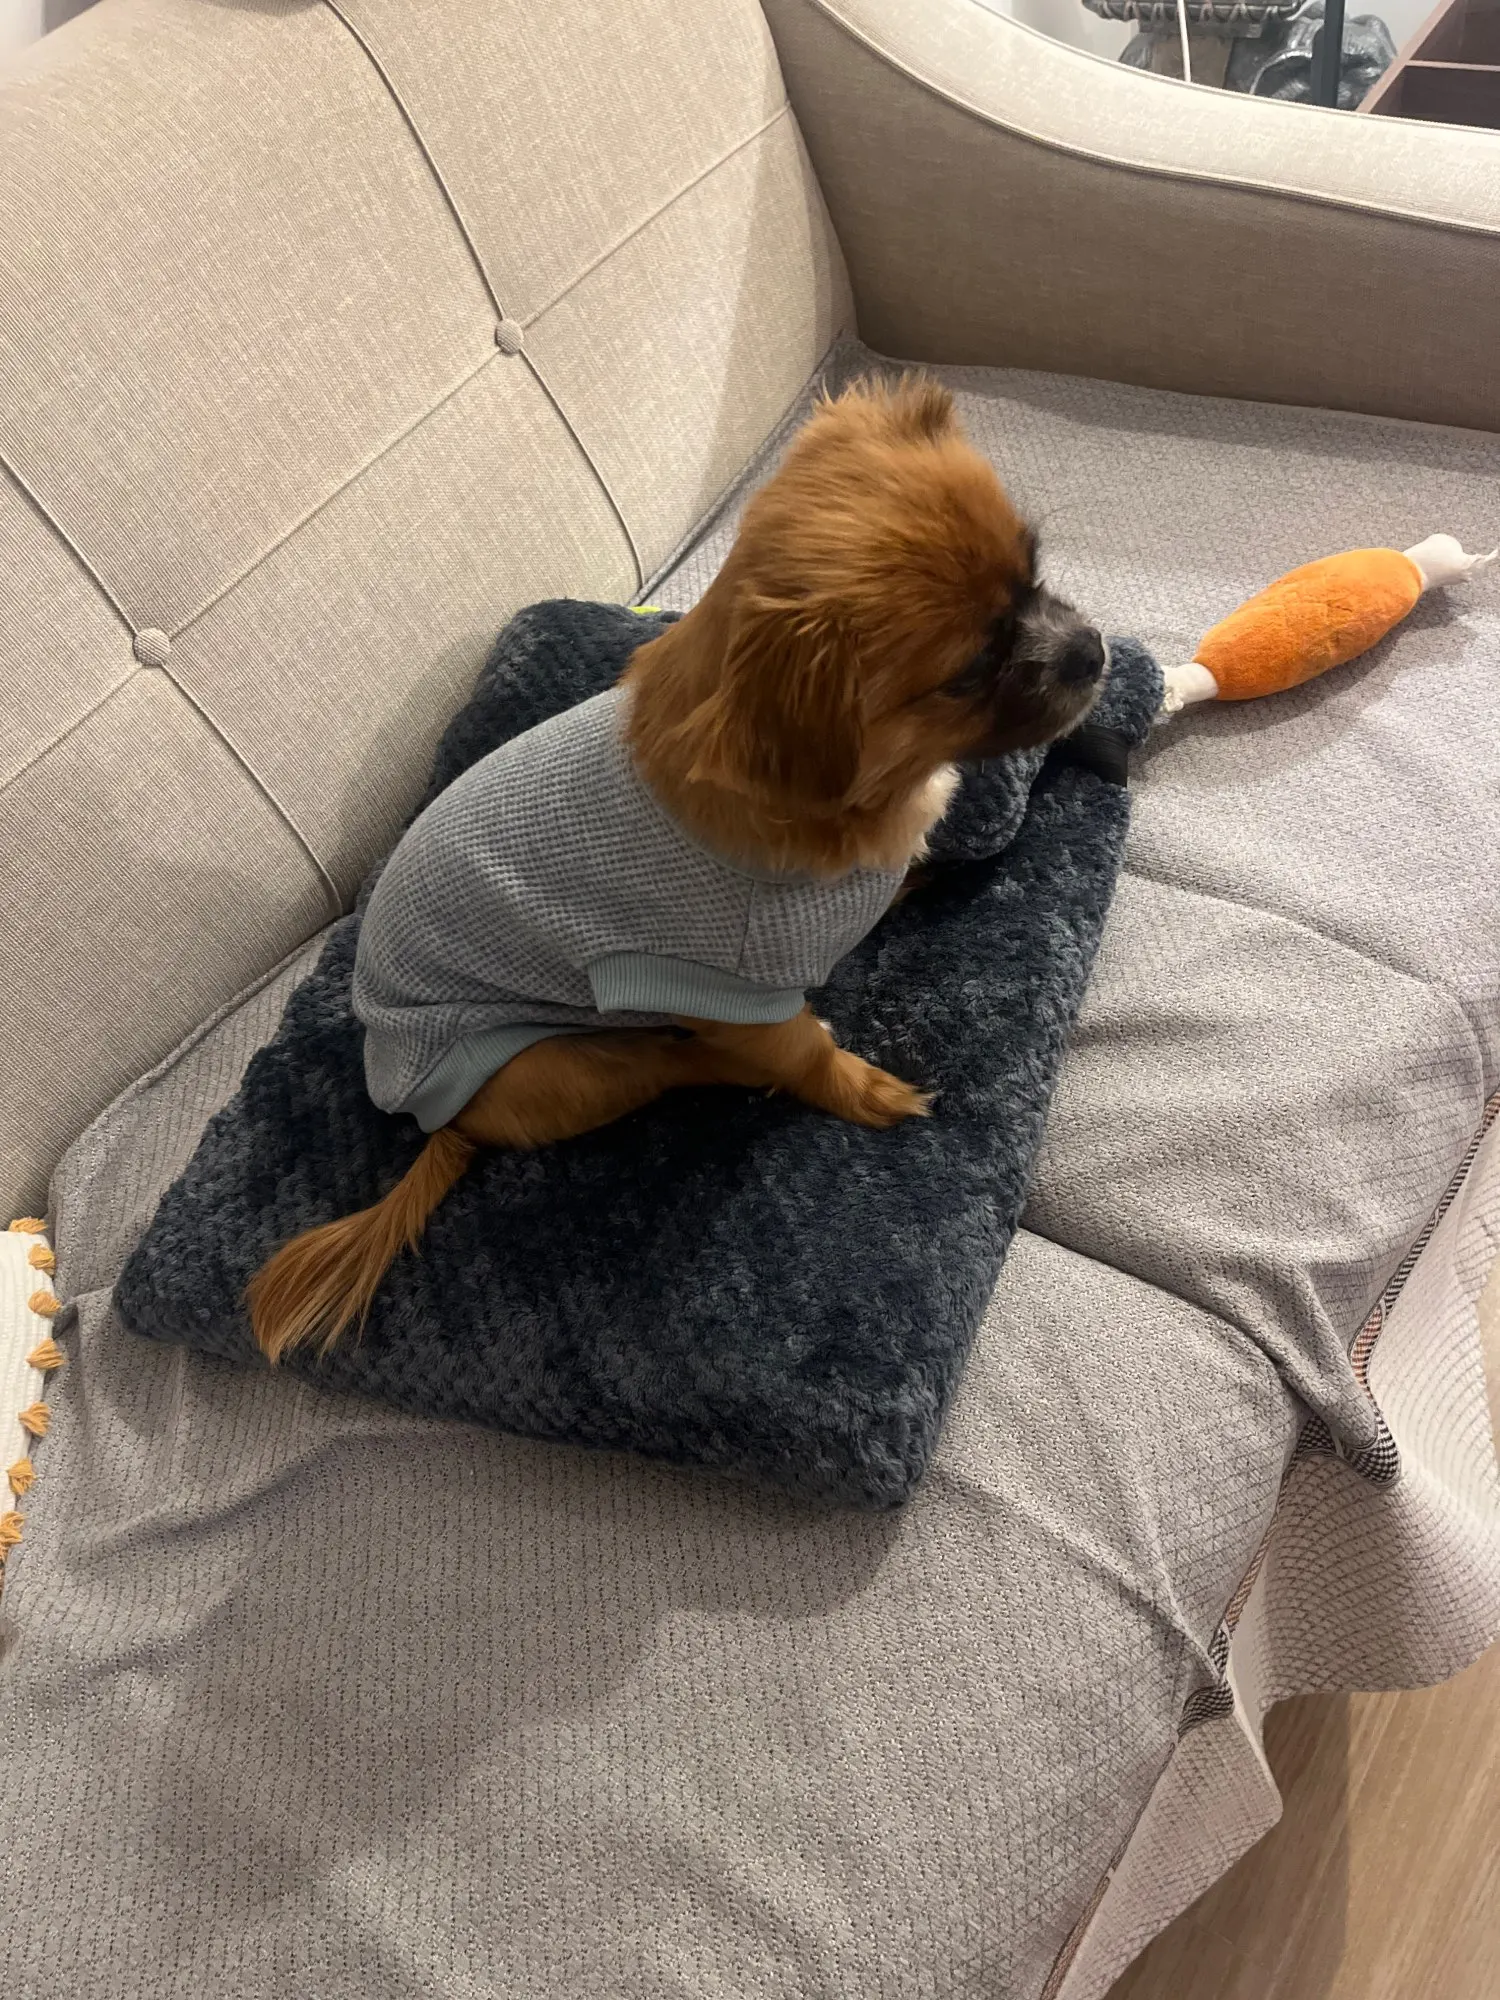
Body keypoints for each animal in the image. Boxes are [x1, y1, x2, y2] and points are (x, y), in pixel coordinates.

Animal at [247, 377, 1105, 1364]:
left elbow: (900, 888)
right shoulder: (730, 991)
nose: (1092, 652)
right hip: (565, 1065)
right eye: (968, 672)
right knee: (678, 1066)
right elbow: (804, 1051)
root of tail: (441, 1124)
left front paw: (940, 875)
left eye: (1035, 569)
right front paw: (867, 1090)